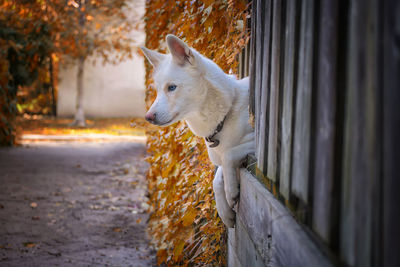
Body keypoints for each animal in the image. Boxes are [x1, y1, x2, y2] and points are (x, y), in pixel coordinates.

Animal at [141, 35, 253, 228]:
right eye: (158, 90)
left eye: (172, 87)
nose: (148, 117)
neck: (226, 114)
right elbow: (216, 179)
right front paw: (225, 213)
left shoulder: (256, 143)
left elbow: (229, 155)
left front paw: (231, 191)